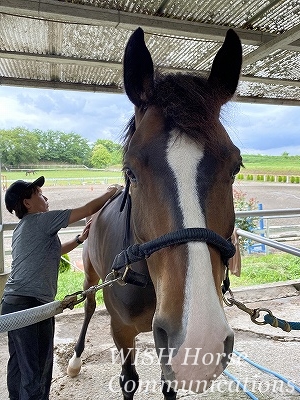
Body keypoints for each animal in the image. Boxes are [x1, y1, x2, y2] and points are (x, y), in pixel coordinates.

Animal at [67, 26, 243, 398]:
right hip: (90, 273)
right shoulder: (121, 331)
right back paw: (75, 360)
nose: (199, 340)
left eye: (236, 166)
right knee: (88, 305)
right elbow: (129, 379)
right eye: (131, 171)